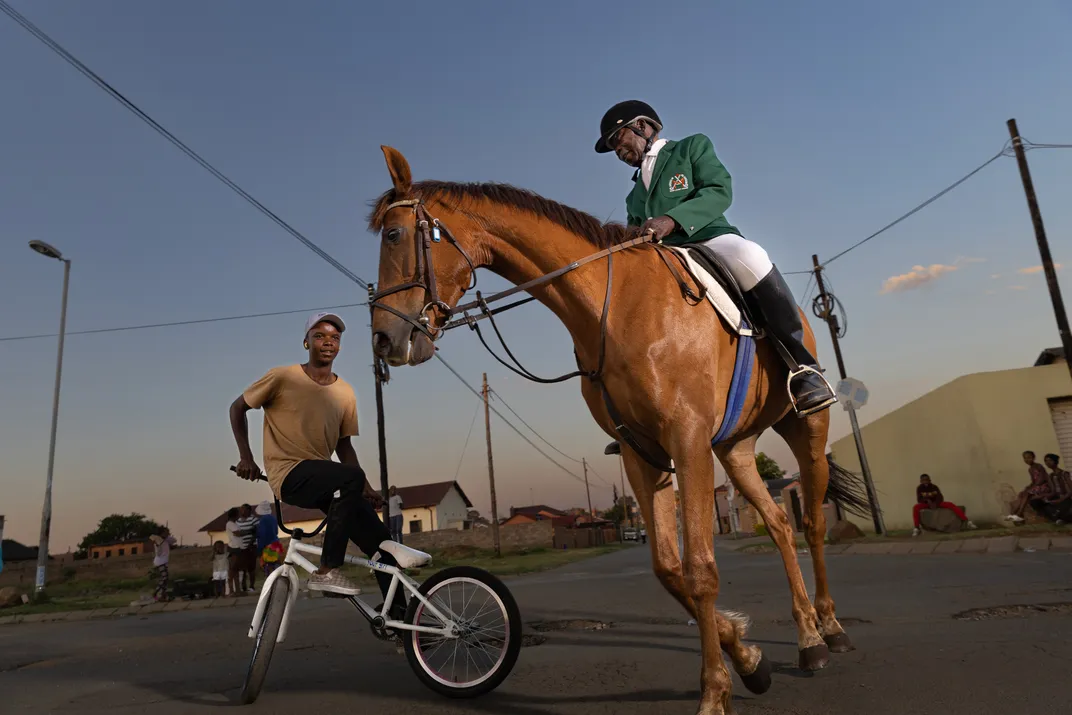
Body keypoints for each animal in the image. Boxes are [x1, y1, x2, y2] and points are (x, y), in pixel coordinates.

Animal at [368, 146, 870, 715]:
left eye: (394, 234)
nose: (383, 340)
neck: (615, 307)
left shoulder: (687, 440)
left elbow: (700, 569)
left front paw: (715, 692)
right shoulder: (641, 451)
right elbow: (669, 569)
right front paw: (747, 658)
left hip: (805, 429)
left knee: (812, 523)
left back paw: (830, 630)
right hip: (736, 450)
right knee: (782, 526)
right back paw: (807, 638)